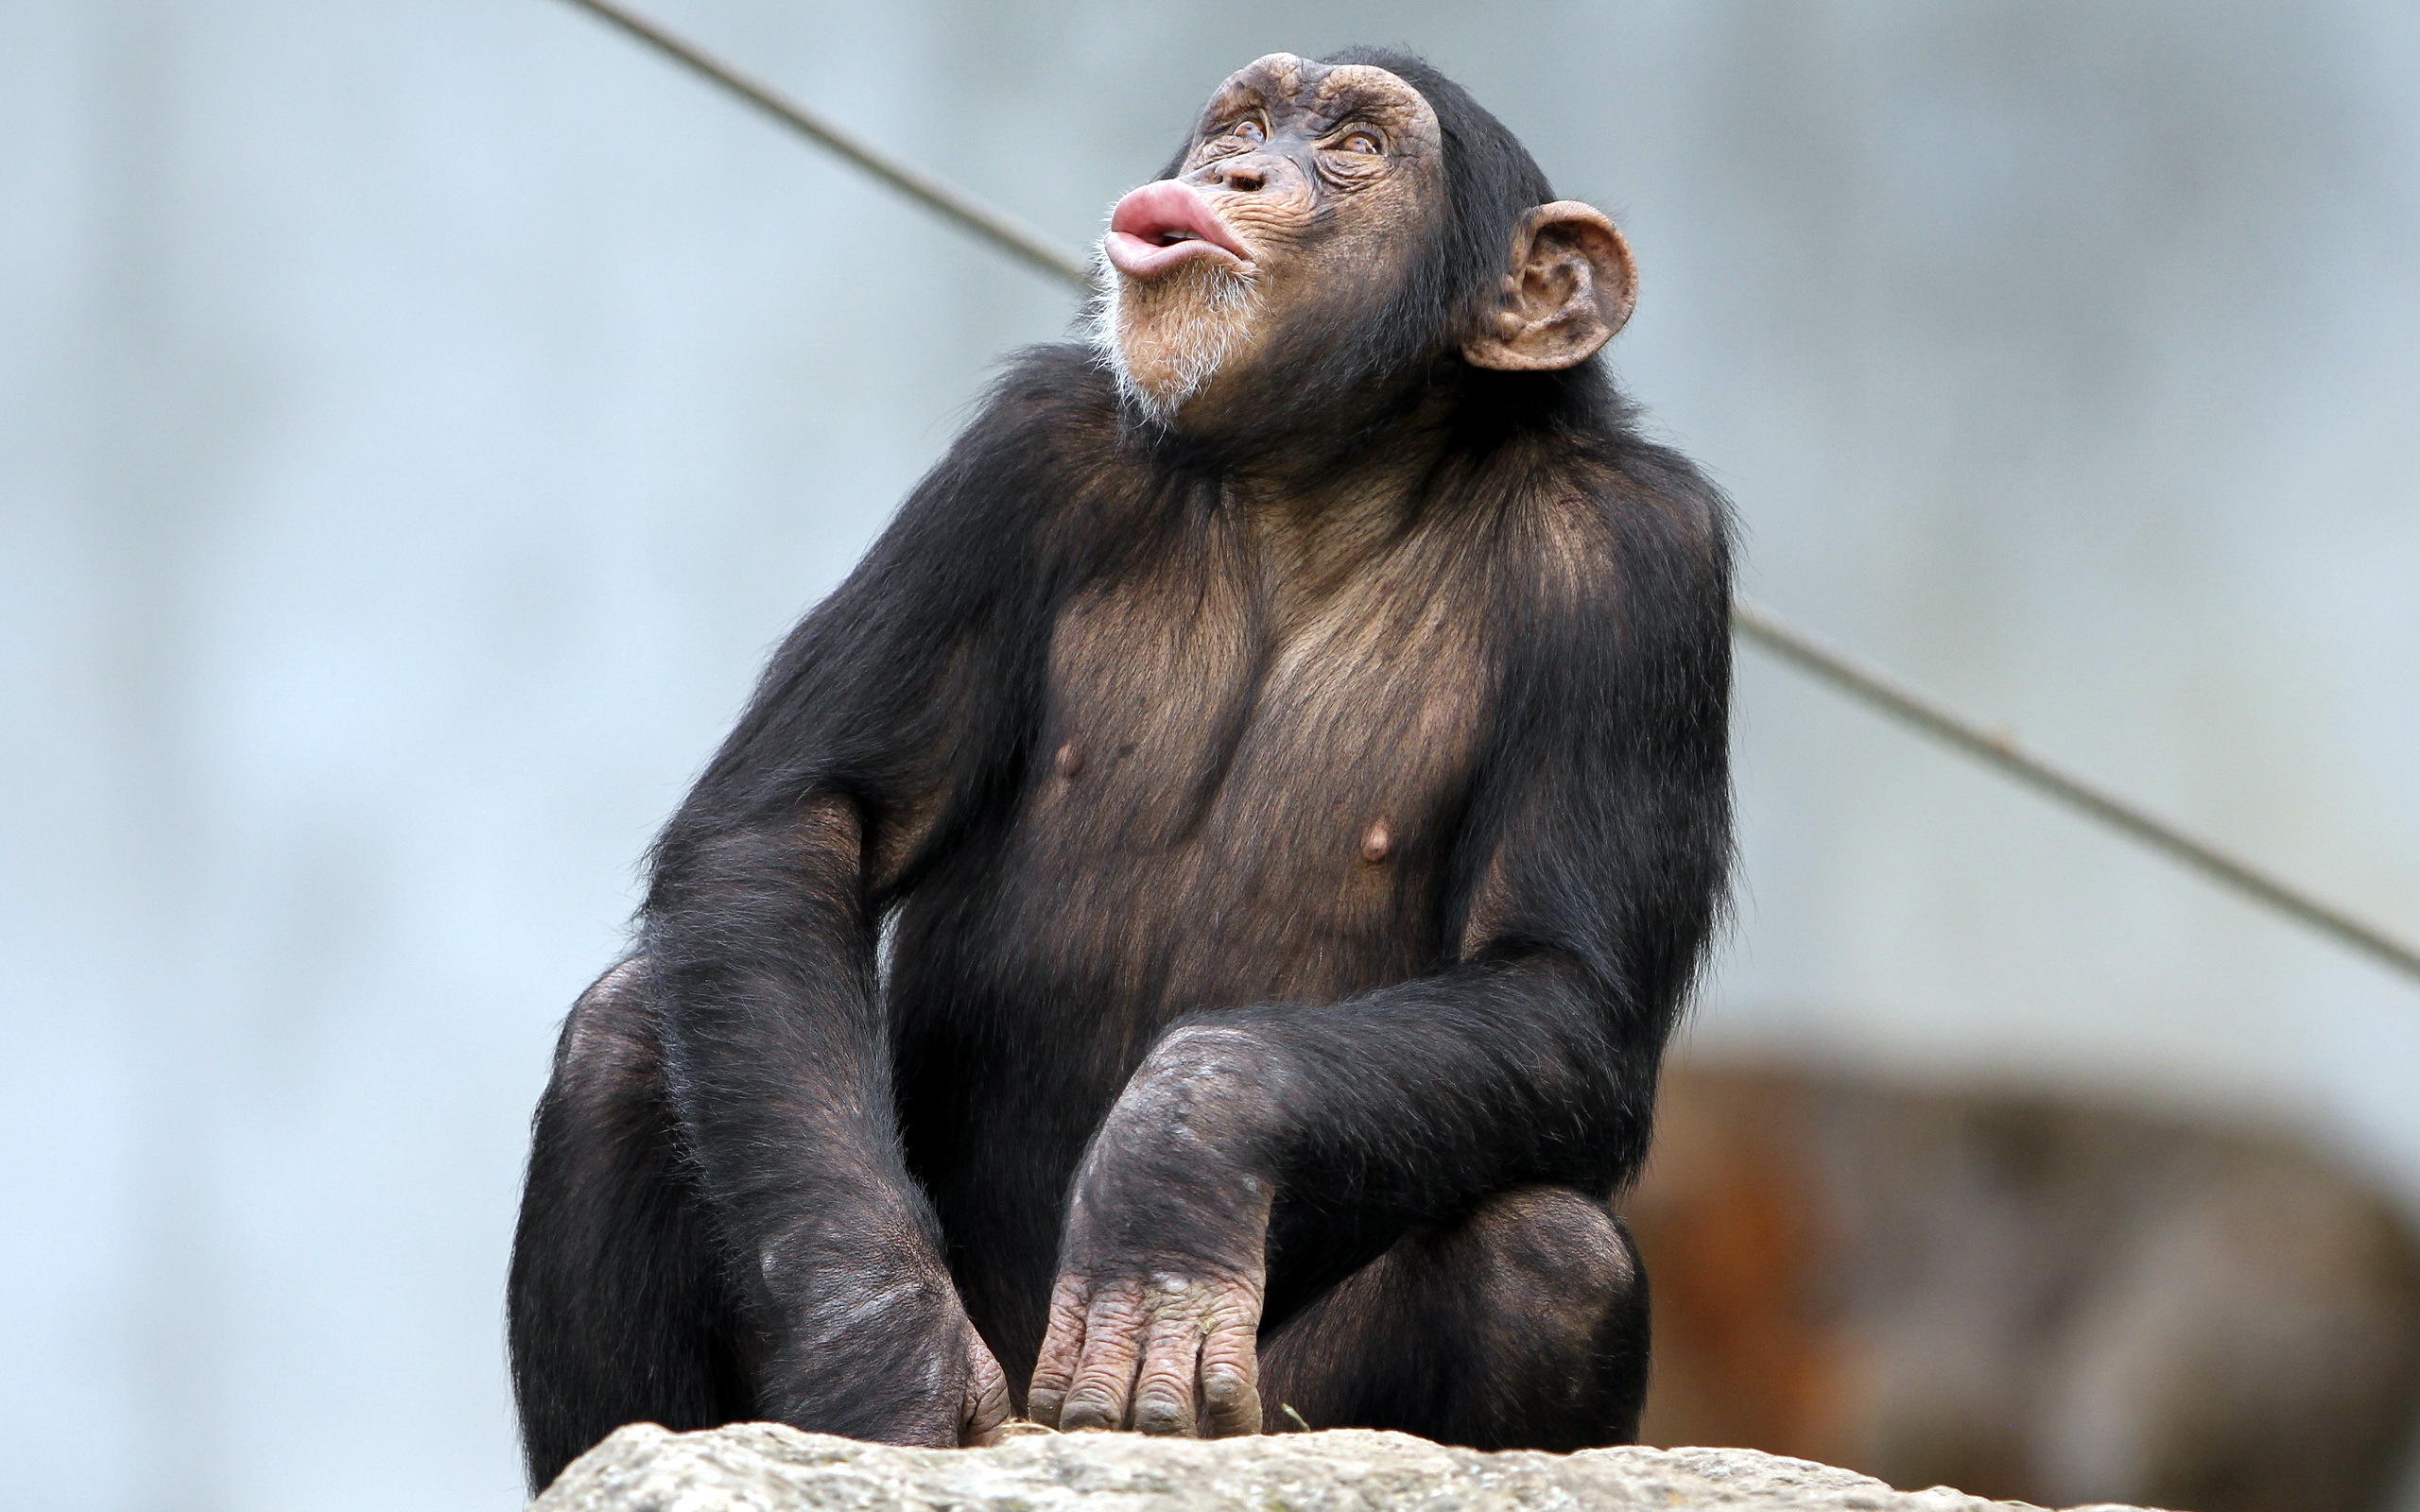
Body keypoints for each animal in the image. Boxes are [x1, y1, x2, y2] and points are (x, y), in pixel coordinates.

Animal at [506, 43, 1722, 1489]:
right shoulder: (1019, 458)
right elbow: (798, 820)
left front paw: (1181, 1154)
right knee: (625, 1034)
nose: (1236, 174)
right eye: (1245, 124)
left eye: (1356, 148)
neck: (1318, 477)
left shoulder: (1644, 566)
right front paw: (883, 1350)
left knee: (1549, 1257)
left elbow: (1561, 985)